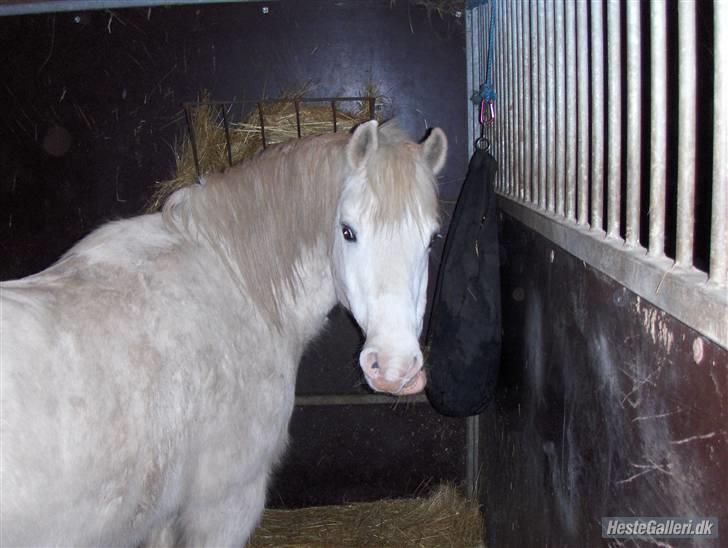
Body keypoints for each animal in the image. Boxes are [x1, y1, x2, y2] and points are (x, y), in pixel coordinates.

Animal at [0, 120, 447, 547]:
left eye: (430, 239)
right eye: (348, 231)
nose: (394, 367)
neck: (236, 282)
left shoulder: (164, 516)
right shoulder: (226, 504)